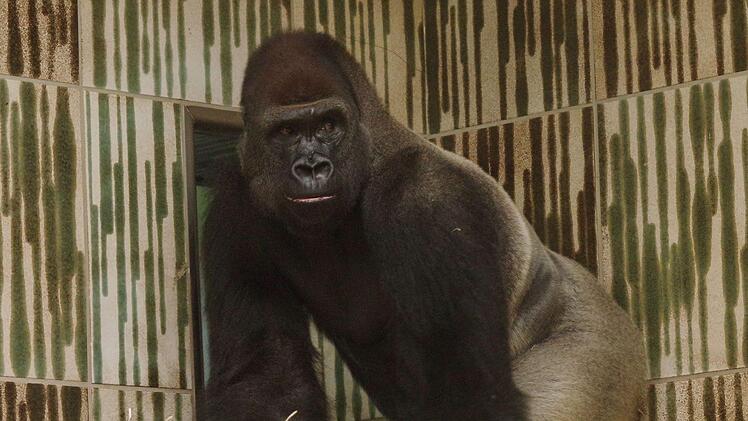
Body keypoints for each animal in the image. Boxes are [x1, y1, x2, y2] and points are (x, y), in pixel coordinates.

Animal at [200, 31, 646, 421]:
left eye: (328, 125)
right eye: (287, 131)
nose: (312, 168)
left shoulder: (426, 198)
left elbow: (468, 386)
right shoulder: (235, 203)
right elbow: (268, 374)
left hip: (592, 354)